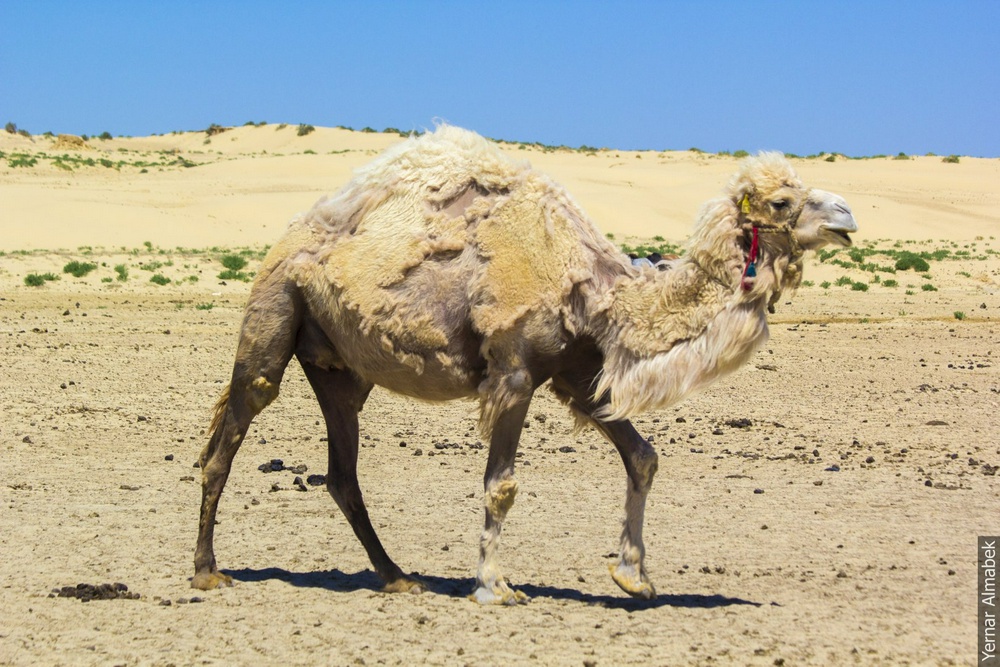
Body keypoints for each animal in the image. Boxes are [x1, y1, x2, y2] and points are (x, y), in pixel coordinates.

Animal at [195, 125, 860, 604]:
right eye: (783, 200)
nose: (847, 215)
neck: (598, 292)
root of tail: (287, 239)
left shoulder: (578, 376)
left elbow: (644, 458)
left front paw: (634, 577)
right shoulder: (513, 373)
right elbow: (502, 485)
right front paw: (494, 586)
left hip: (339, 369)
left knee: (341, 472)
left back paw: (397, 575)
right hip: (274, 310)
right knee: (229, 435)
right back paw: (207, 570)